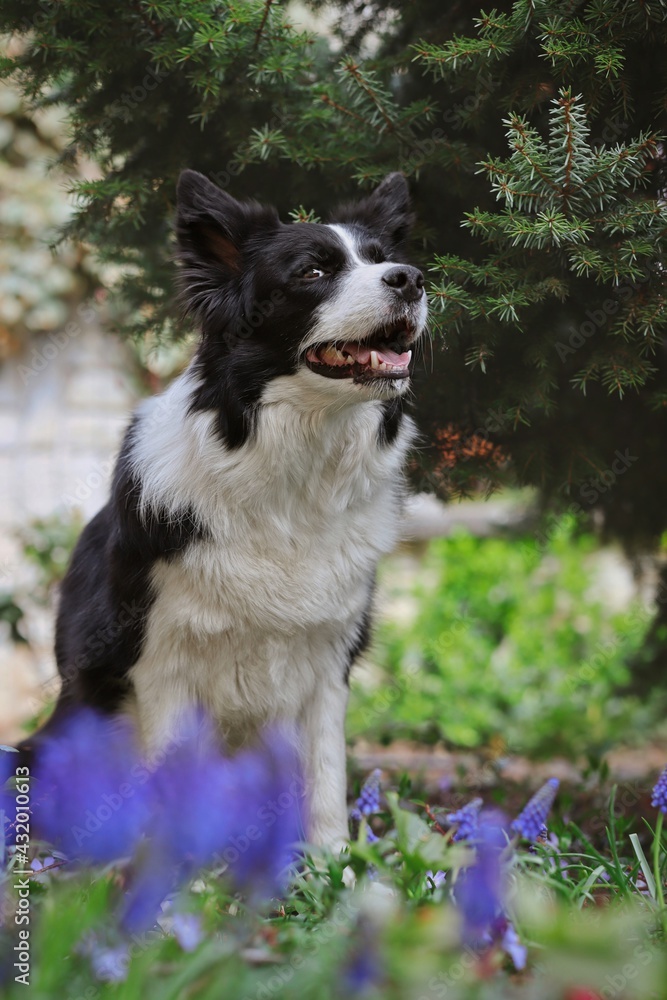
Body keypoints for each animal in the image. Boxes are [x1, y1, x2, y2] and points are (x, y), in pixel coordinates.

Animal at [24, 172, 428, 852]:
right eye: (313, 271)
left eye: (381, 259)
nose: (412, 279)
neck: (289, 474)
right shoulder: (162, 663)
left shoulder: (328, 664)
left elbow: (325, 785)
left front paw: (334, 870)